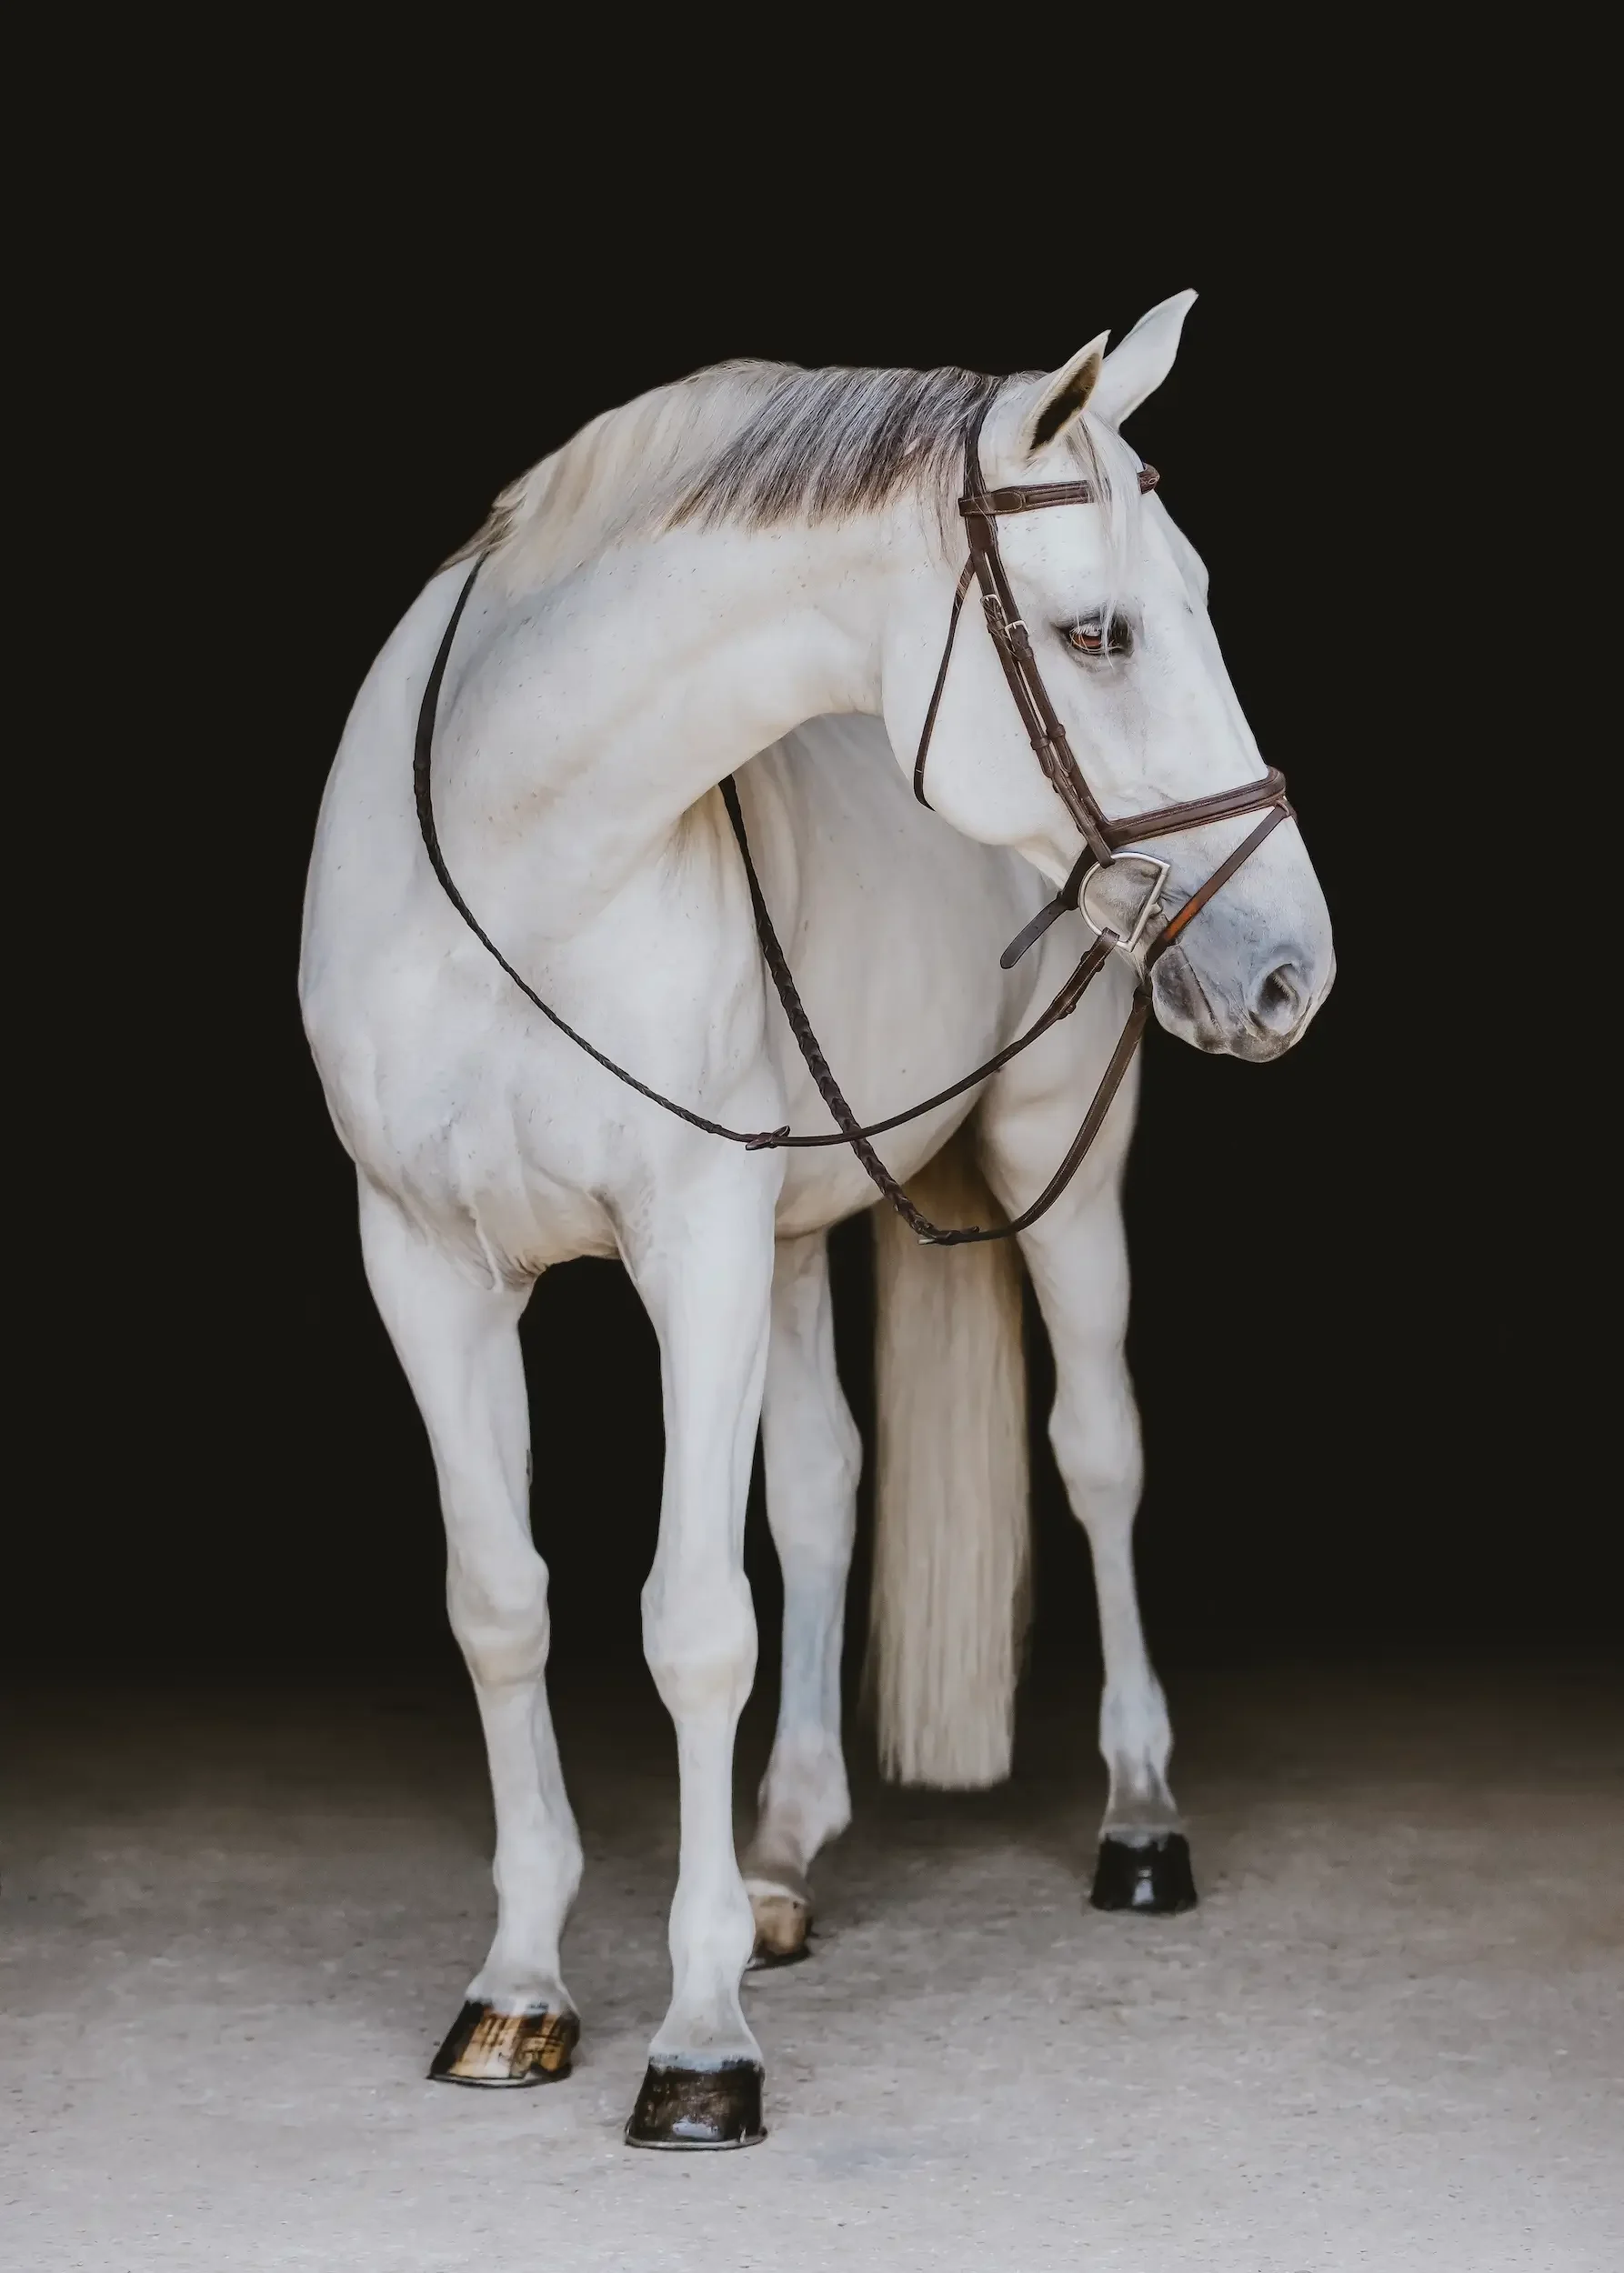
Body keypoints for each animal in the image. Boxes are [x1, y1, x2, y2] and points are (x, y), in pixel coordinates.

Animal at [299, 290, 1335, 2148]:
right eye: (1097, 632)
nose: (1292, 965)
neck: (517, 854)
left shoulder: (693, 1250)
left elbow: (691, 1621)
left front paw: (699, 2042)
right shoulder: (424, 1267)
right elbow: (504, 1601)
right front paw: (519, 1986)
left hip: (1051, 1177)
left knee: (1098, 1456)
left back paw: (1137, 1822)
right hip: (788, 1238)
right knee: (824, 1489)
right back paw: (782, 1855)